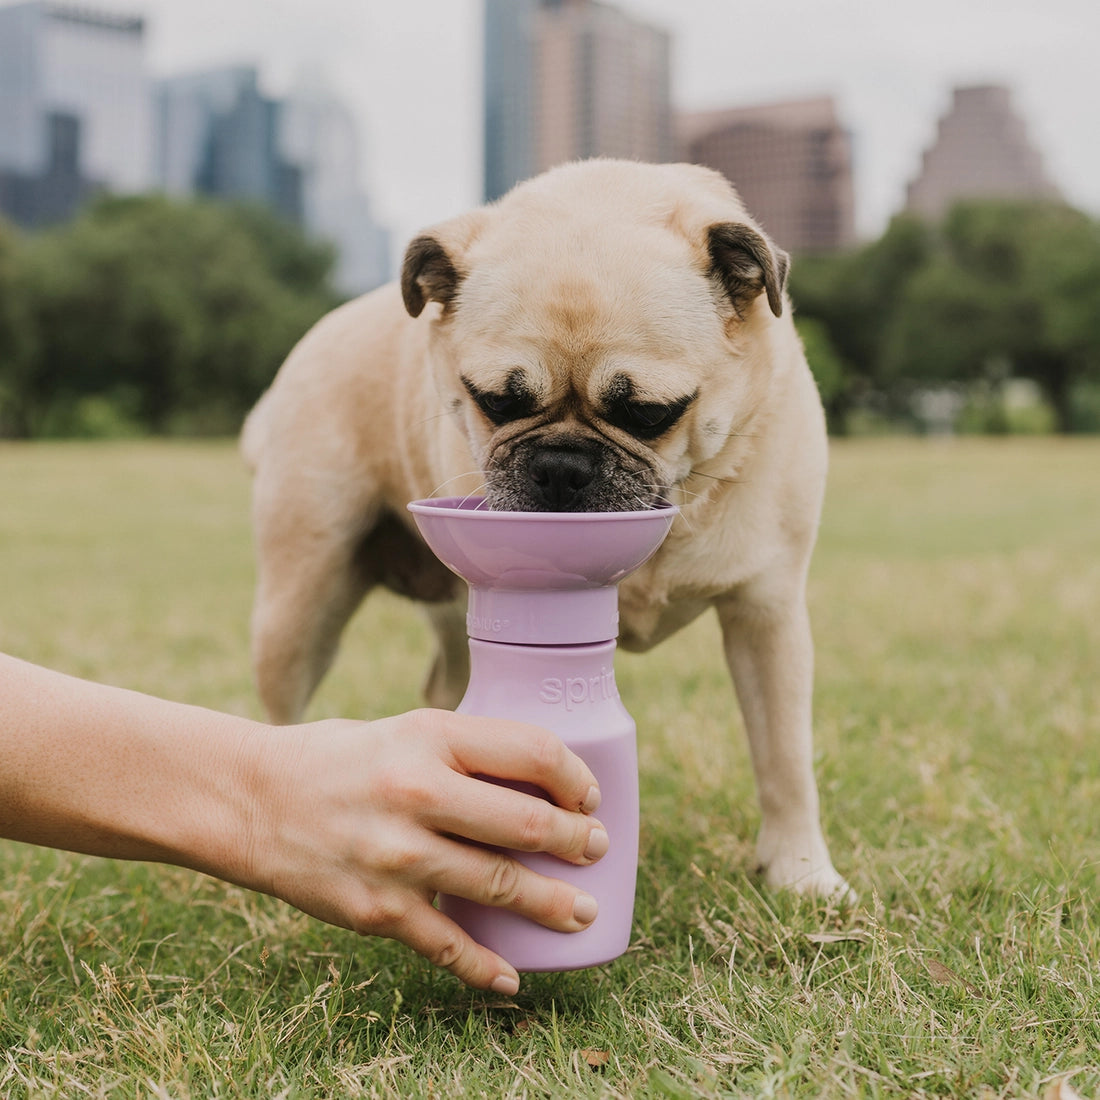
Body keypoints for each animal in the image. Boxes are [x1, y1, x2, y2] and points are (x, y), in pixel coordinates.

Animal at [240, 159, 844, 897]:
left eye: (650, 414)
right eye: (496, 402)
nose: (561, 465)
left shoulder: (767, 612)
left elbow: (784, 756)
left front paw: (802, 874)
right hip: (301, 606)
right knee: (281, 712)